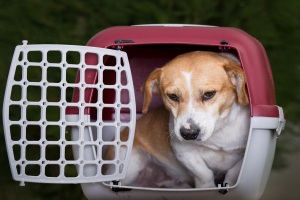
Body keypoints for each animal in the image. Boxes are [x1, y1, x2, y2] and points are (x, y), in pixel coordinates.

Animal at [104, 50, 250, 188]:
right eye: (172, 96)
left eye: (209, 94)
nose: (189, 133)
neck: (219, 130)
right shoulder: (184, 152)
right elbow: (204, 174)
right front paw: (207, 188)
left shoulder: (243, 156)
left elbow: (232, 174)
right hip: (132, 166)